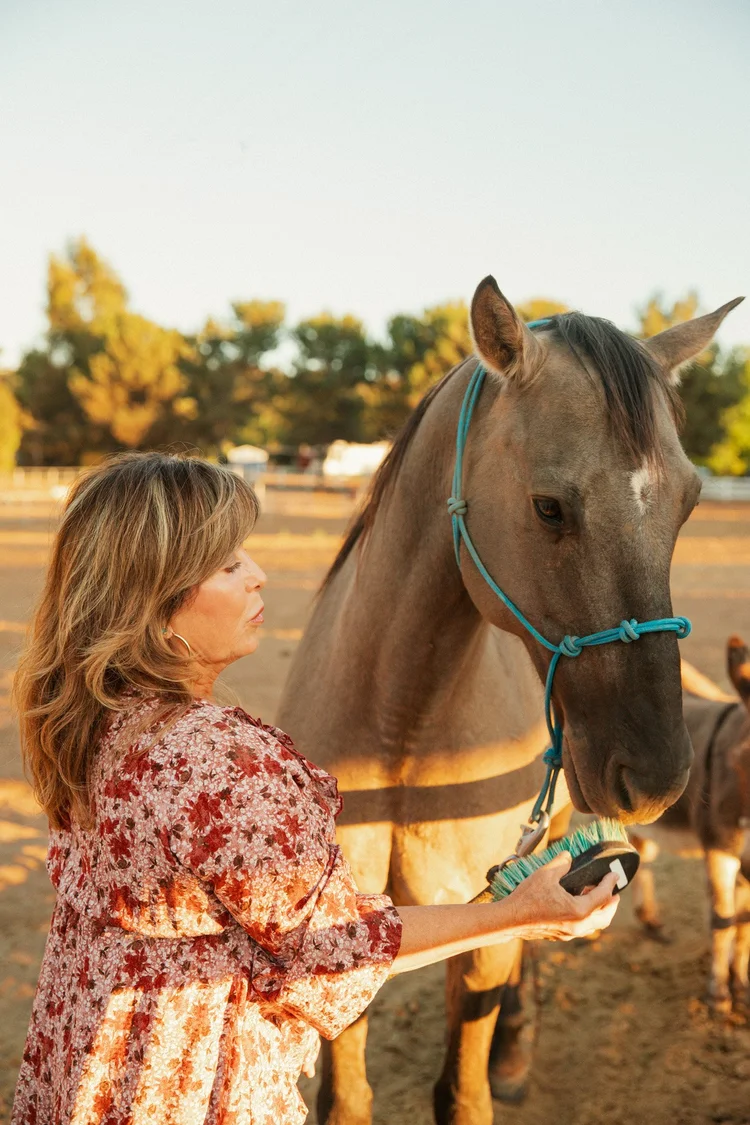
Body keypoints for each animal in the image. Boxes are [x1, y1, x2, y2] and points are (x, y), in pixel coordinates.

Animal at [632, 640, 750, 1012]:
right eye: (740, 762)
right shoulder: (718, 847)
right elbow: (723, 919)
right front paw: (719, 996)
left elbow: (743, 922)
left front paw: (740, 985)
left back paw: (651, 921)